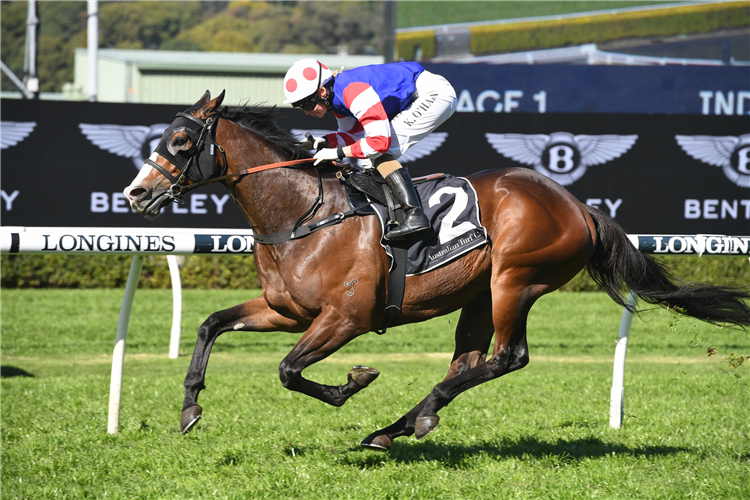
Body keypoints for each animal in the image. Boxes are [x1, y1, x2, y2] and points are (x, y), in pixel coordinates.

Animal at [123, 92, 750, 452]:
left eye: (180, 140)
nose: (135, 194)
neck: (303, 213)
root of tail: (579, 206)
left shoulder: (345, 317)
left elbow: (288, 370)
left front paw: (353, 382)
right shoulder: (287, 311)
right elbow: (210, 324)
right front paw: (189, 407)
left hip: (514, 281)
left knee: (507, 357)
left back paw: (408, 420)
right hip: (479, 294)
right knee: (469, 362)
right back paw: (399, 426)